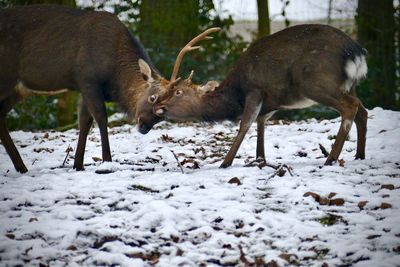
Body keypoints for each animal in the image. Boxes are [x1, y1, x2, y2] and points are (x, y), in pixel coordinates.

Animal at [0, 4, 217, 174]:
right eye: (153, 97)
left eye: (164, 112)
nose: (143, 126)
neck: (114, 78)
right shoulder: (87, 78)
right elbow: (100, 117)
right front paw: (107, 162)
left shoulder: (84, 88)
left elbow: (84, 121)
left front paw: (78, 165)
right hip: (7, 75)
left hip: (18, 88)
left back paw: (21, 167)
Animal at [145, 24, 368, 168]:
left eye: (178, 91)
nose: (157, 106)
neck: (236, 96)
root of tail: (356, 53)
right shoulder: (270, 104)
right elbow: (260, 126)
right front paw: (260, 159)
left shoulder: (255, 90)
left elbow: (244, 125)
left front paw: (225, 162)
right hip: (349, 85)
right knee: (362, 110)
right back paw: (359, 155)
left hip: (316, 82)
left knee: (350, 106)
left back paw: (331, 159)